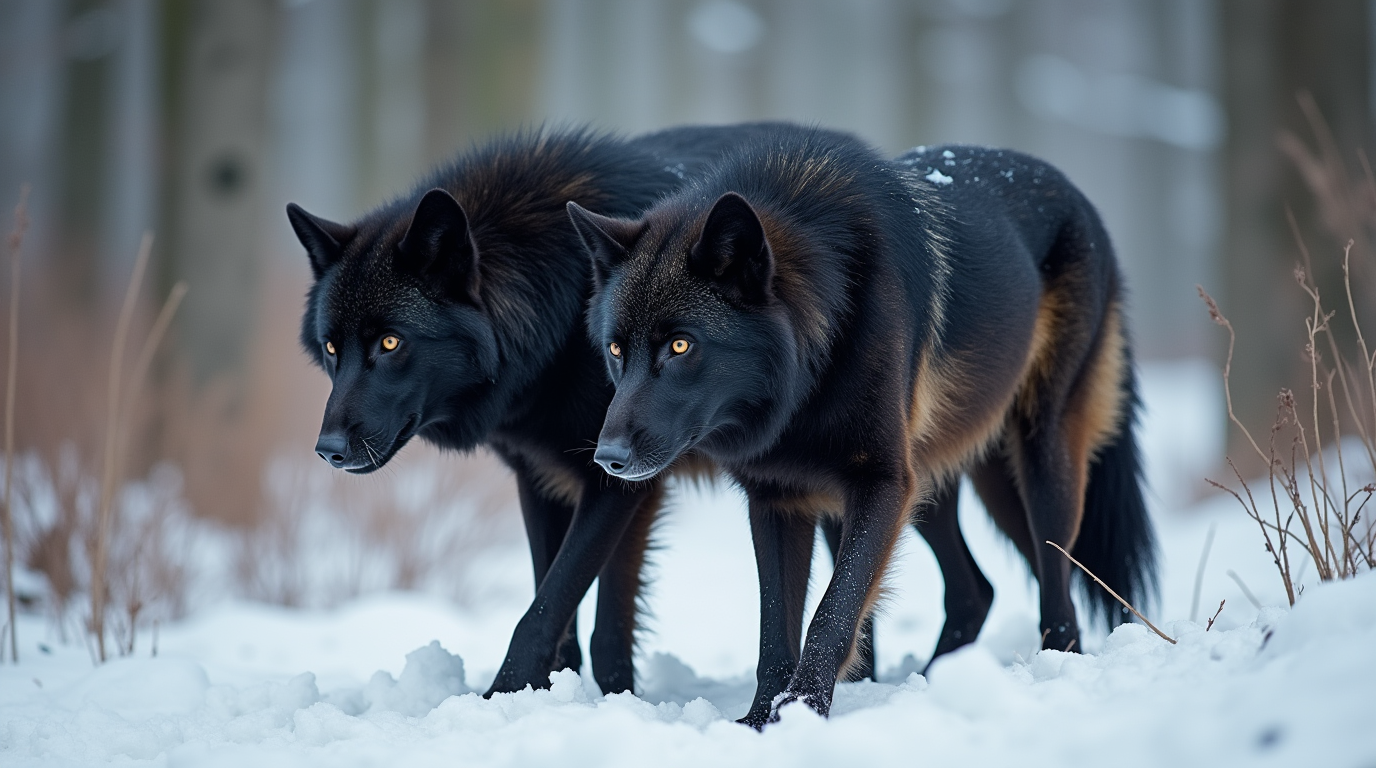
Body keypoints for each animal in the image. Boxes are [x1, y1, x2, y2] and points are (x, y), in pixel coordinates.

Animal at [284, 125, 792, 699]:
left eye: (391, 342)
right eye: (331, 348)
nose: (328, 450)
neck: (561, 311)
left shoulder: (618, 483)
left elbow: (552, 610)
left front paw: (505, 696)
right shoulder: (541, 475)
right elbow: (570, 617)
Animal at [564, 126, 1155, 726]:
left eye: (681, 346)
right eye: (616, 349)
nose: (606, 458)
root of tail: (1076, 193)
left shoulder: (883, 483)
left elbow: (832, 611)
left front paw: (804, 709)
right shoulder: (779, 498)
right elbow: (775, 629)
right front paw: (759, 722)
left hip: (1036, 463)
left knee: (1056, 585)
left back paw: (1052, 665)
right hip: (948, 487)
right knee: (980, 589)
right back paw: (934, 682)